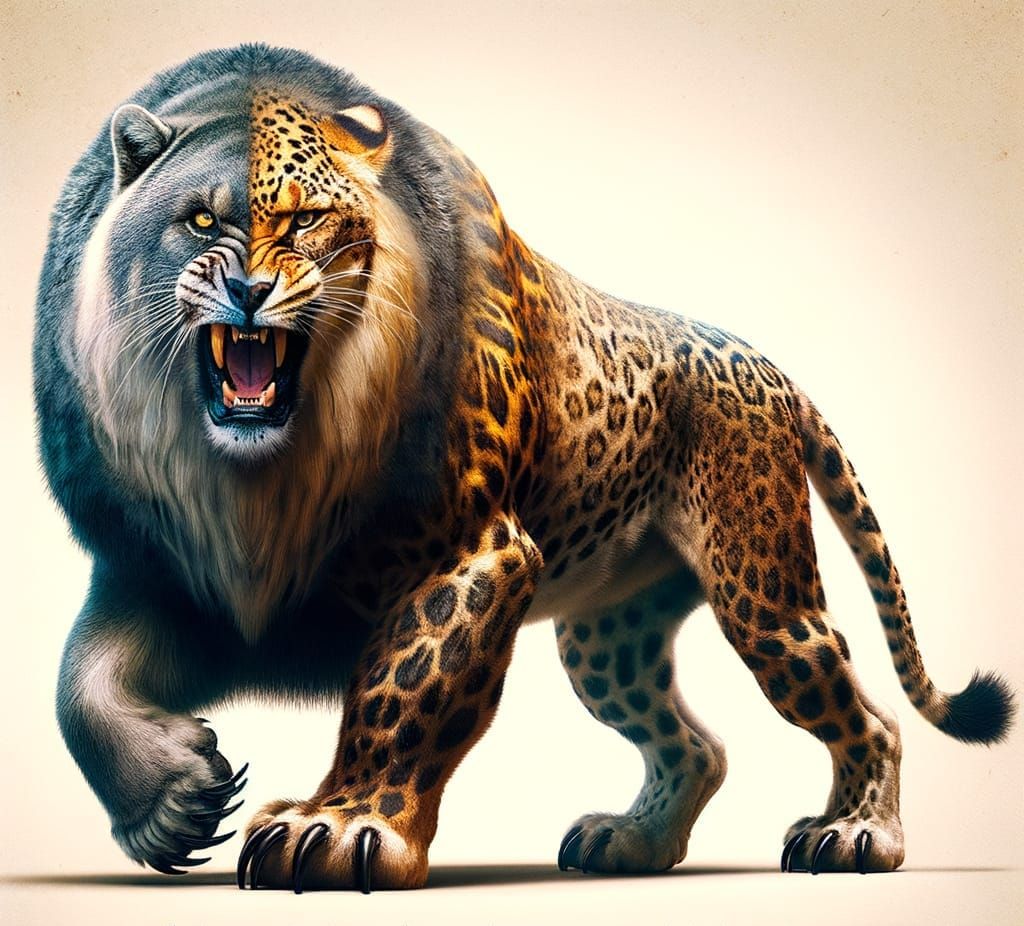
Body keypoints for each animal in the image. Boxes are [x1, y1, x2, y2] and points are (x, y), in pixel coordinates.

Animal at [34, 44, 1014, 892]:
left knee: (866, 712)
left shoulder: (477, 554)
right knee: (698, 746)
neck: (256, 490)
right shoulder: (156, 573)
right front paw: (175, 801)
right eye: (201, 218)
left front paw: (341, 826)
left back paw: (856, 834)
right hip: (608, 640)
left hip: (761, 594)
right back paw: (631, 843)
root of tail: (763, 367)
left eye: (306, 219)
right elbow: (79, 686)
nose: (247, 291)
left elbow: (404, 691)